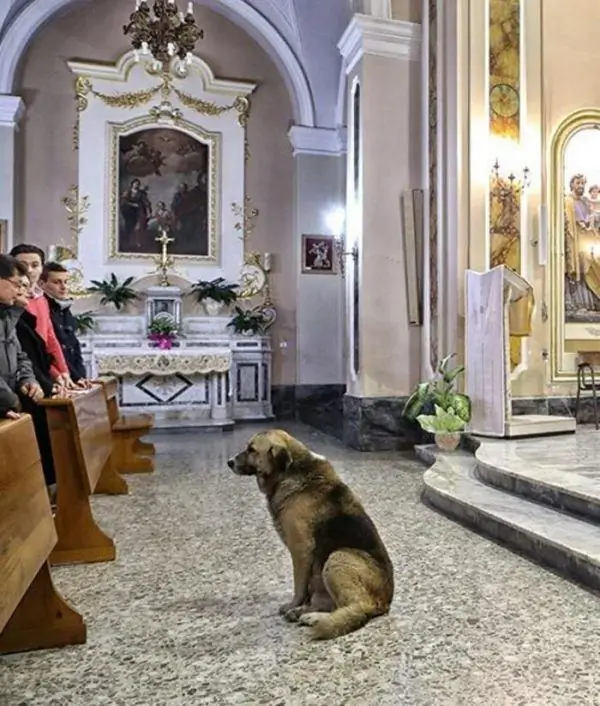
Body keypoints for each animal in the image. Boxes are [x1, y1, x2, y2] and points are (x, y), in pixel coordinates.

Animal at [226, 428, 394, 640]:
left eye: (252, 450)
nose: (229, 462)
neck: (291, 471)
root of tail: (386, 602)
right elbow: (305, 590)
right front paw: (300, 606)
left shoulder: (301, 550)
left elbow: (299, 586)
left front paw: (293, 605)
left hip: (338, 557)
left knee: (356, 607)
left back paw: (314, 617)